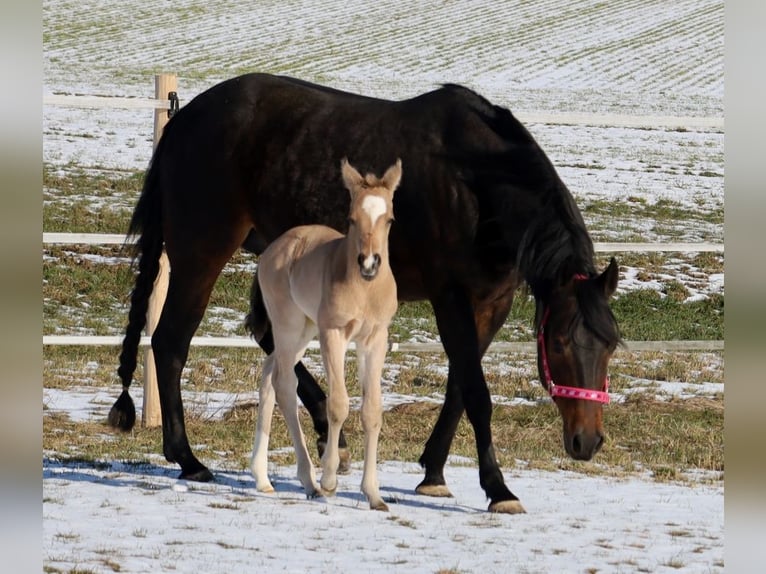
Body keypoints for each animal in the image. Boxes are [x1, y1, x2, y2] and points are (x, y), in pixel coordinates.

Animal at [249, 158, 400, 511]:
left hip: (303, 332)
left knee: (269, 374)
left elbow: (372, 410)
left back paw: (262, 478)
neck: (364, 289)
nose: (369, 264)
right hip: (289, 326)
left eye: (389, 219)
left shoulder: (375, 340)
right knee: (284, 384)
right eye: (352, 218)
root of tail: (275, 247)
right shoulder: (333, 335)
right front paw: (330, 479)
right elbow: (339, 404)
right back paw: (310, 481)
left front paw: (373, 494)